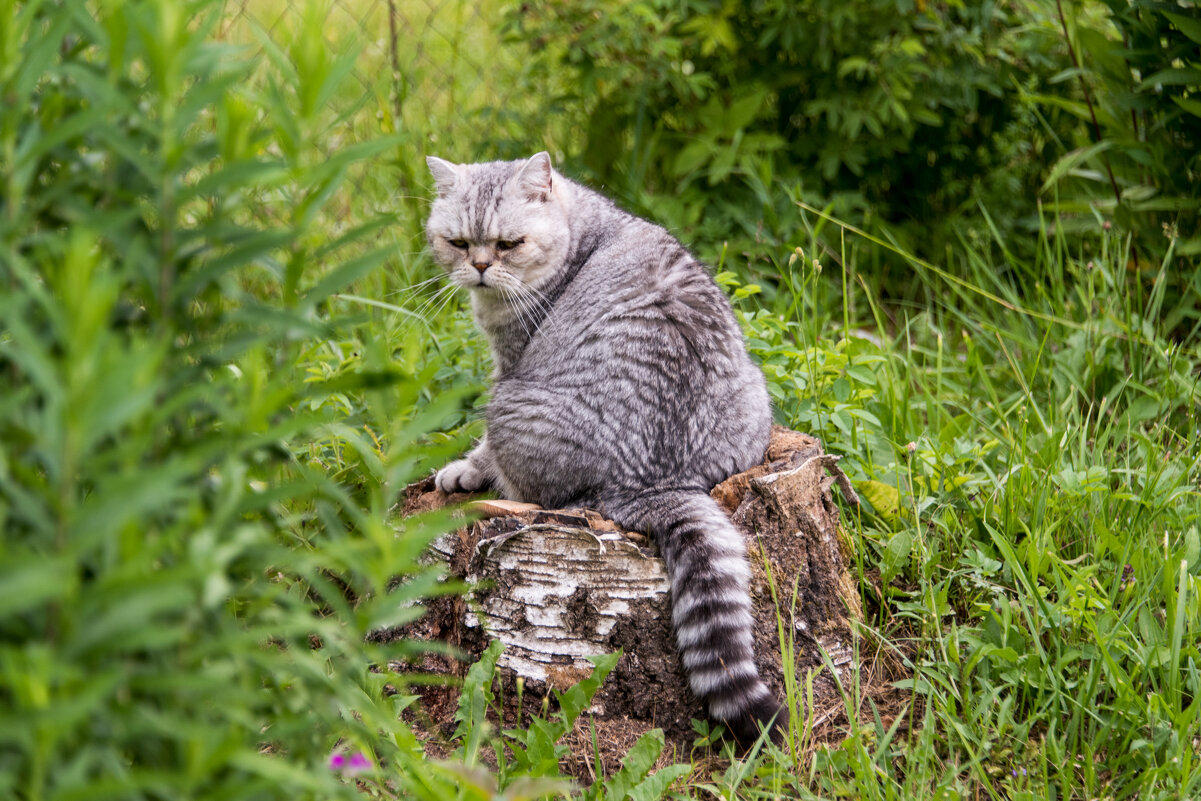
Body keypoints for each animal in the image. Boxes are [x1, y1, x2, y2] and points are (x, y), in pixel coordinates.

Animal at [427, 151, 783, 744]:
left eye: (508, 244)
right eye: (458, 243)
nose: (477, 267)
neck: (582, 231)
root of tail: (656, 482)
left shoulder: (509, 366)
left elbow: (481, 452)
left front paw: (465, 470)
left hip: (509, 406)